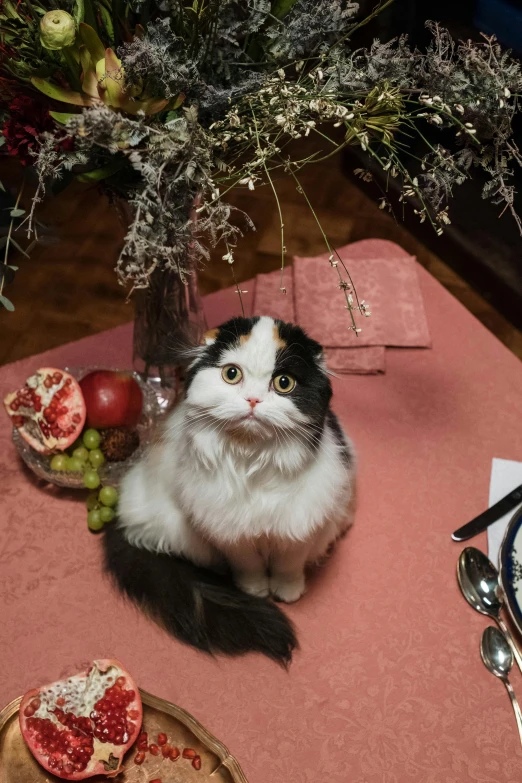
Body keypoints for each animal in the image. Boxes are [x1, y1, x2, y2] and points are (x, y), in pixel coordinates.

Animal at [102, 316, 354, 664]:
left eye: (284, 383)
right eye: (231, 374)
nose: (253, 400)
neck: (252, 461)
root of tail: (123, 518)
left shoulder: (298, 527)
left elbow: (288, 566)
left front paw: (287, 592)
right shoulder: (231, 533)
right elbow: (249, 567)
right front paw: (255, 591)